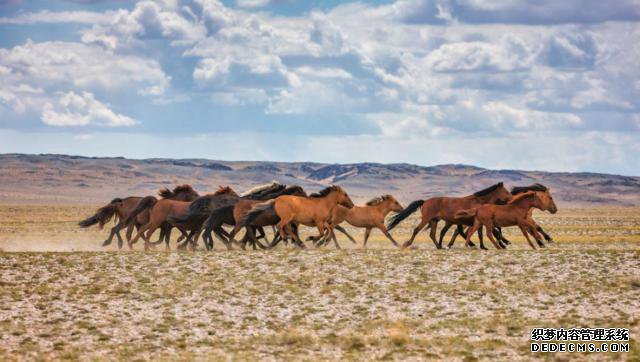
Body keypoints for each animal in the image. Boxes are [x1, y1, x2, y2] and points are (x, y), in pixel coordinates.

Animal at [384, 184, 516, 249]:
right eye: (506, 191)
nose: (512, 199)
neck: (479, 201)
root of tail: (425, 201)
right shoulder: (477, 221)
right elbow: (489, 233)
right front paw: (501, 244)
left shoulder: (477, 222)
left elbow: (479, 234)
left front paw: (483, 246)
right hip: (427, 219)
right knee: (417, 230)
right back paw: (407, 244)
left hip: (434, 221)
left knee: (433, 234)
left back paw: (439, 246)